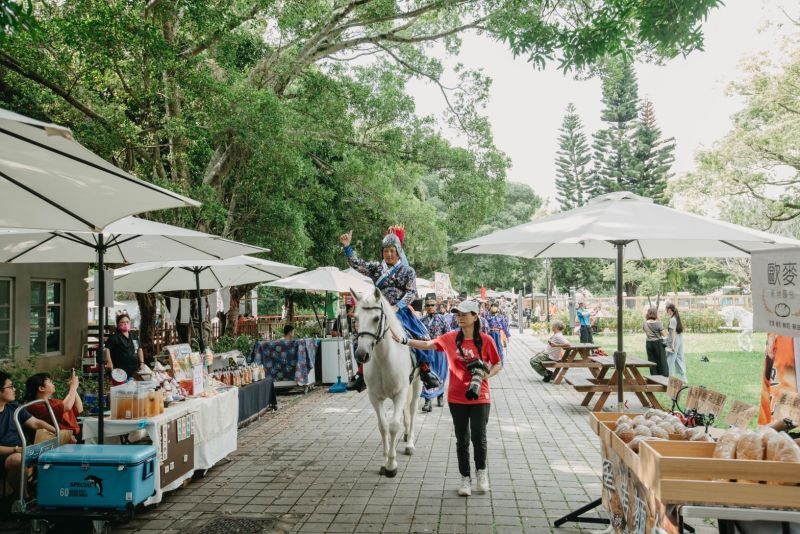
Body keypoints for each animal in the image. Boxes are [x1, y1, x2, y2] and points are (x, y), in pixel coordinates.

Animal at [352, 292, 424, 480]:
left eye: (376, 318)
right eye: (355, 318)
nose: (361, 355)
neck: (384, 359)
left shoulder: (400, 394)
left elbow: (393, 426)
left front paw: (392, 465)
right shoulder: (374, 397)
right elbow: (383, 426)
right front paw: (385, 462)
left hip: (417, 384)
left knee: (412, 411)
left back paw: (410, 442)